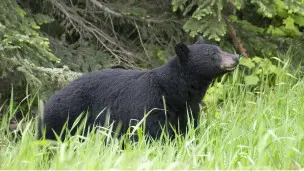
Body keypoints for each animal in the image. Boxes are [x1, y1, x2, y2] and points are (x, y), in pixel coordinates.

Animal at [38, 39, 239, 140]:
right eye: (213, 54)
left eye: (219, 48)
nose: (236, 57)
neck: (174, 91)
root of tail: (51, 98)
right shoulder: (149, 102)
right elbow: (150, 131)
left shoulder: (187, 108)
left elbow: (187, 128)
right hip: (67, 116)